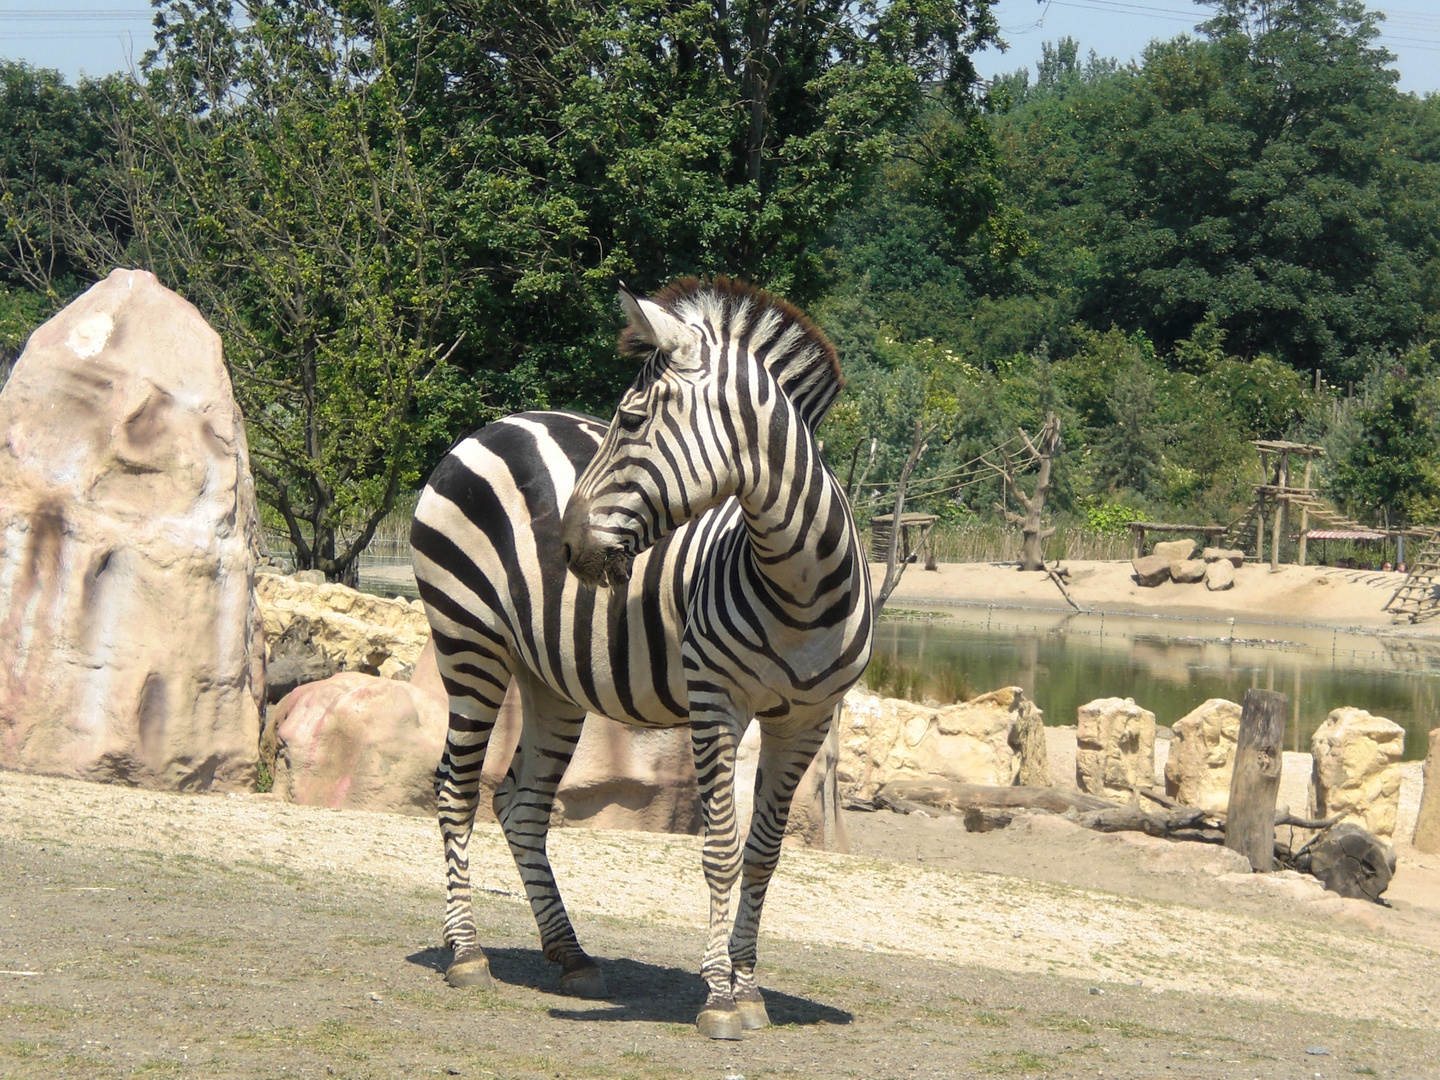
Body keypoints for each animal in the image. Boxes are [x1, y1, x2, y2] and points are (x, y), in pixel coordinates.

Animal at [411, 276, 869, 1042]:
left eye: (628, 422)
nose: (564, 547)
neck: (800, 583)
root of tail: (495, 425)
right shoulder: (717, 700)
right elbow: (721, 849)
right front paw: (718, 997)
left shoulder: (806, 719)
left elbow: (764, 855)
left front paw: (750, 990)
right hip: (468, 637)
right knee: (455, 787)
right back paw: (467, 953)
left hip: (550, 678)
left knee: (520, 803)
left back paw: (569, 954)